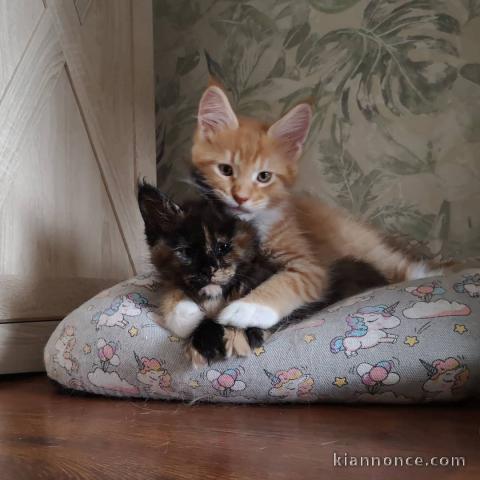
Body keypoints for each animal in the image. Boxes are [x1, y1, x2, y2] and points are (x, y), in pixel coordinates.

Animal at [136, 182, 278, 366]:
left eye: (223, 247)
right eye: (187, 252)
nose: (208, 270)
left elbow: (240, 307)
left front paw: (215, 339)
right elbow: (173, 295)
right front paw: (188, 316)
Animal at [188, 85, 442, 330]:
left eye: (264, 176)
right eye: (225, 170)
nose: (240, 197)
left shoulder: (311, 266)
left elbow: (289, 281)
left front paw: (248, 308)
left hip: (363, 246)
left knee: (403, 266)